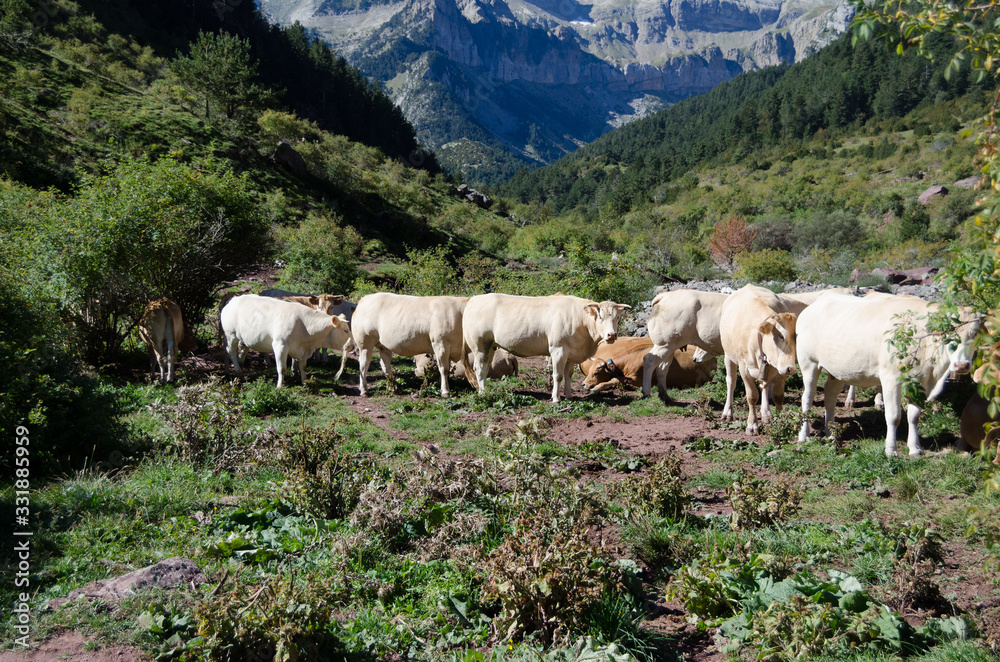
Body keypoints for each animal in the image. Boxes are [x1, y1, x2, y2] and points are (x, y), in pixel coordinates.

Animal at [220, 294, 351, 388]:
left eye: (331, 306)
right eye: (345, 330)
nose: (352, 345)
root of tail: (233, 299)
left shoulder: (303, 351)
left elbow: (303, 367)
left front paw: (304, 382)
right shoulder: (280, 345)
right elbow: (282, 368)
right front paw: (279, 386)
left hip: (243, 338)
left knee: (241, 352)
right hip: (230, 335)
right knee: (230, 352)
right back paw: (237, 372)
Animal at [462, 293, 629, 403]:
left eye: (617, 317)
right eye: (600, 317)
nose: (612, 335)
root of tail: (473, 299)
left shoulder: (571, 353)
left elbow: (568, 375)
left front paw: (569, 395)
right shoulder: (558, 349)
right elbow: (558, 375)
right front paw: (556, 398)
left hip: (490, 346)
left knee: (485, 368)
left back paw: (485, 390)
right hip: (479, 345)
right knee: (479, 368)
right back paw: (483, 393)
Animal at [581, 339, 716, 393]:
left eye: (596, 373)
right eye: (590, 371)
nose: (583, 384)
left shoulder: (637, 379)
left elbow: (614, 379)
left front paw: (596, 387)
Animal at [719, 284, 799, 435]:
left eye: (797, 336)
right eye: (780, 335)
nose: (790, 368)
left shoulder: (779, 370)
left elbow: (778, 396)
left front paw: (780, 423)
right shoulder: (744, 368)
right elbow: (752, 396)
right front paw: (752, 425)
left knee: (765, 385)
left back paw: (766, 413)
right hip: (728, 356)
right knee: (731, 382)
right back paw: (727, 412)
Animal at [796, 292, 980, 456]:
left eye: (975, 333)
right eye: (947, 332)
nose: (962, 365)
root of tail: (813, 306)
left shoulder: (920, 383)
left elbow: (914, 416)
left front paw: (915, 448)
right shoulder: (891, 378)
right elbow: (893, 416)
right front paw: (891, 450)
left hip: (837, 370)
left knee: (830, 396)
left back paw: (831, 434)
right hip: (809, 363)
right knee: (807, 398)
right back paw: (804, 435)